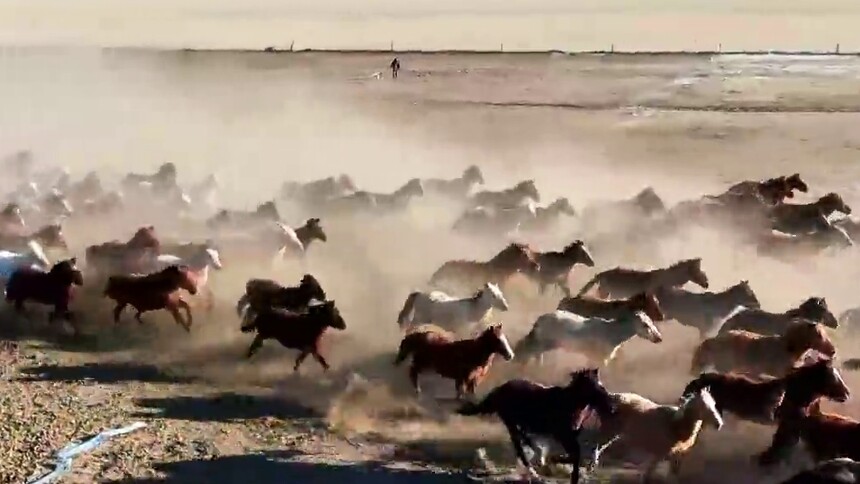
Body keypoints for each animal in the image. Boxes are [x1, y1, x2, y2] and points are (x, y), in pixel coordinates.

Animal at [455, 368, 616, 484]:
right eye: (594, 387)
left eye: (601, 385)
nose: (611, 407)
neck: (570, 404)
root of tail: (500, 389)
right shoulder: (562, 435)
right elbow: (575, 454)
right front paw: (556, 462)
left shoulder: (570, 435)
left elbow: (575, 454)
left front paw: (572, 474)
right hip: (510, 422)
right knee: (519, 446)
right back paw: (535, 466)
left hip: (518, 423)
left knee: (523, 439)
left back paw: (538, 455)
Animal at [513, 310, 662, 367]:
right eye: (645, 324)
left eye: (651, 322)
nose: (659, 338)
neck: (611, 332)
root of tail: (540, 319)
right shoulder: (601, 359)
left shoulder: (594, 358)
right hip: (544, 342)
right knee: (528, 350)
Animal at [584, 386, 723, 482]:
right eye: (702, 406)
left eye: (714, 404)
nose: (719, 424)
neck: (676, 426)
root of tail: (611, 396)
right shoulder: (658, 455)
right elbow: (647, 475)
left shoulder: (677, 456)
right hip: (609, 429)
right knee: (596, 445)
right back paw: (590, 468)